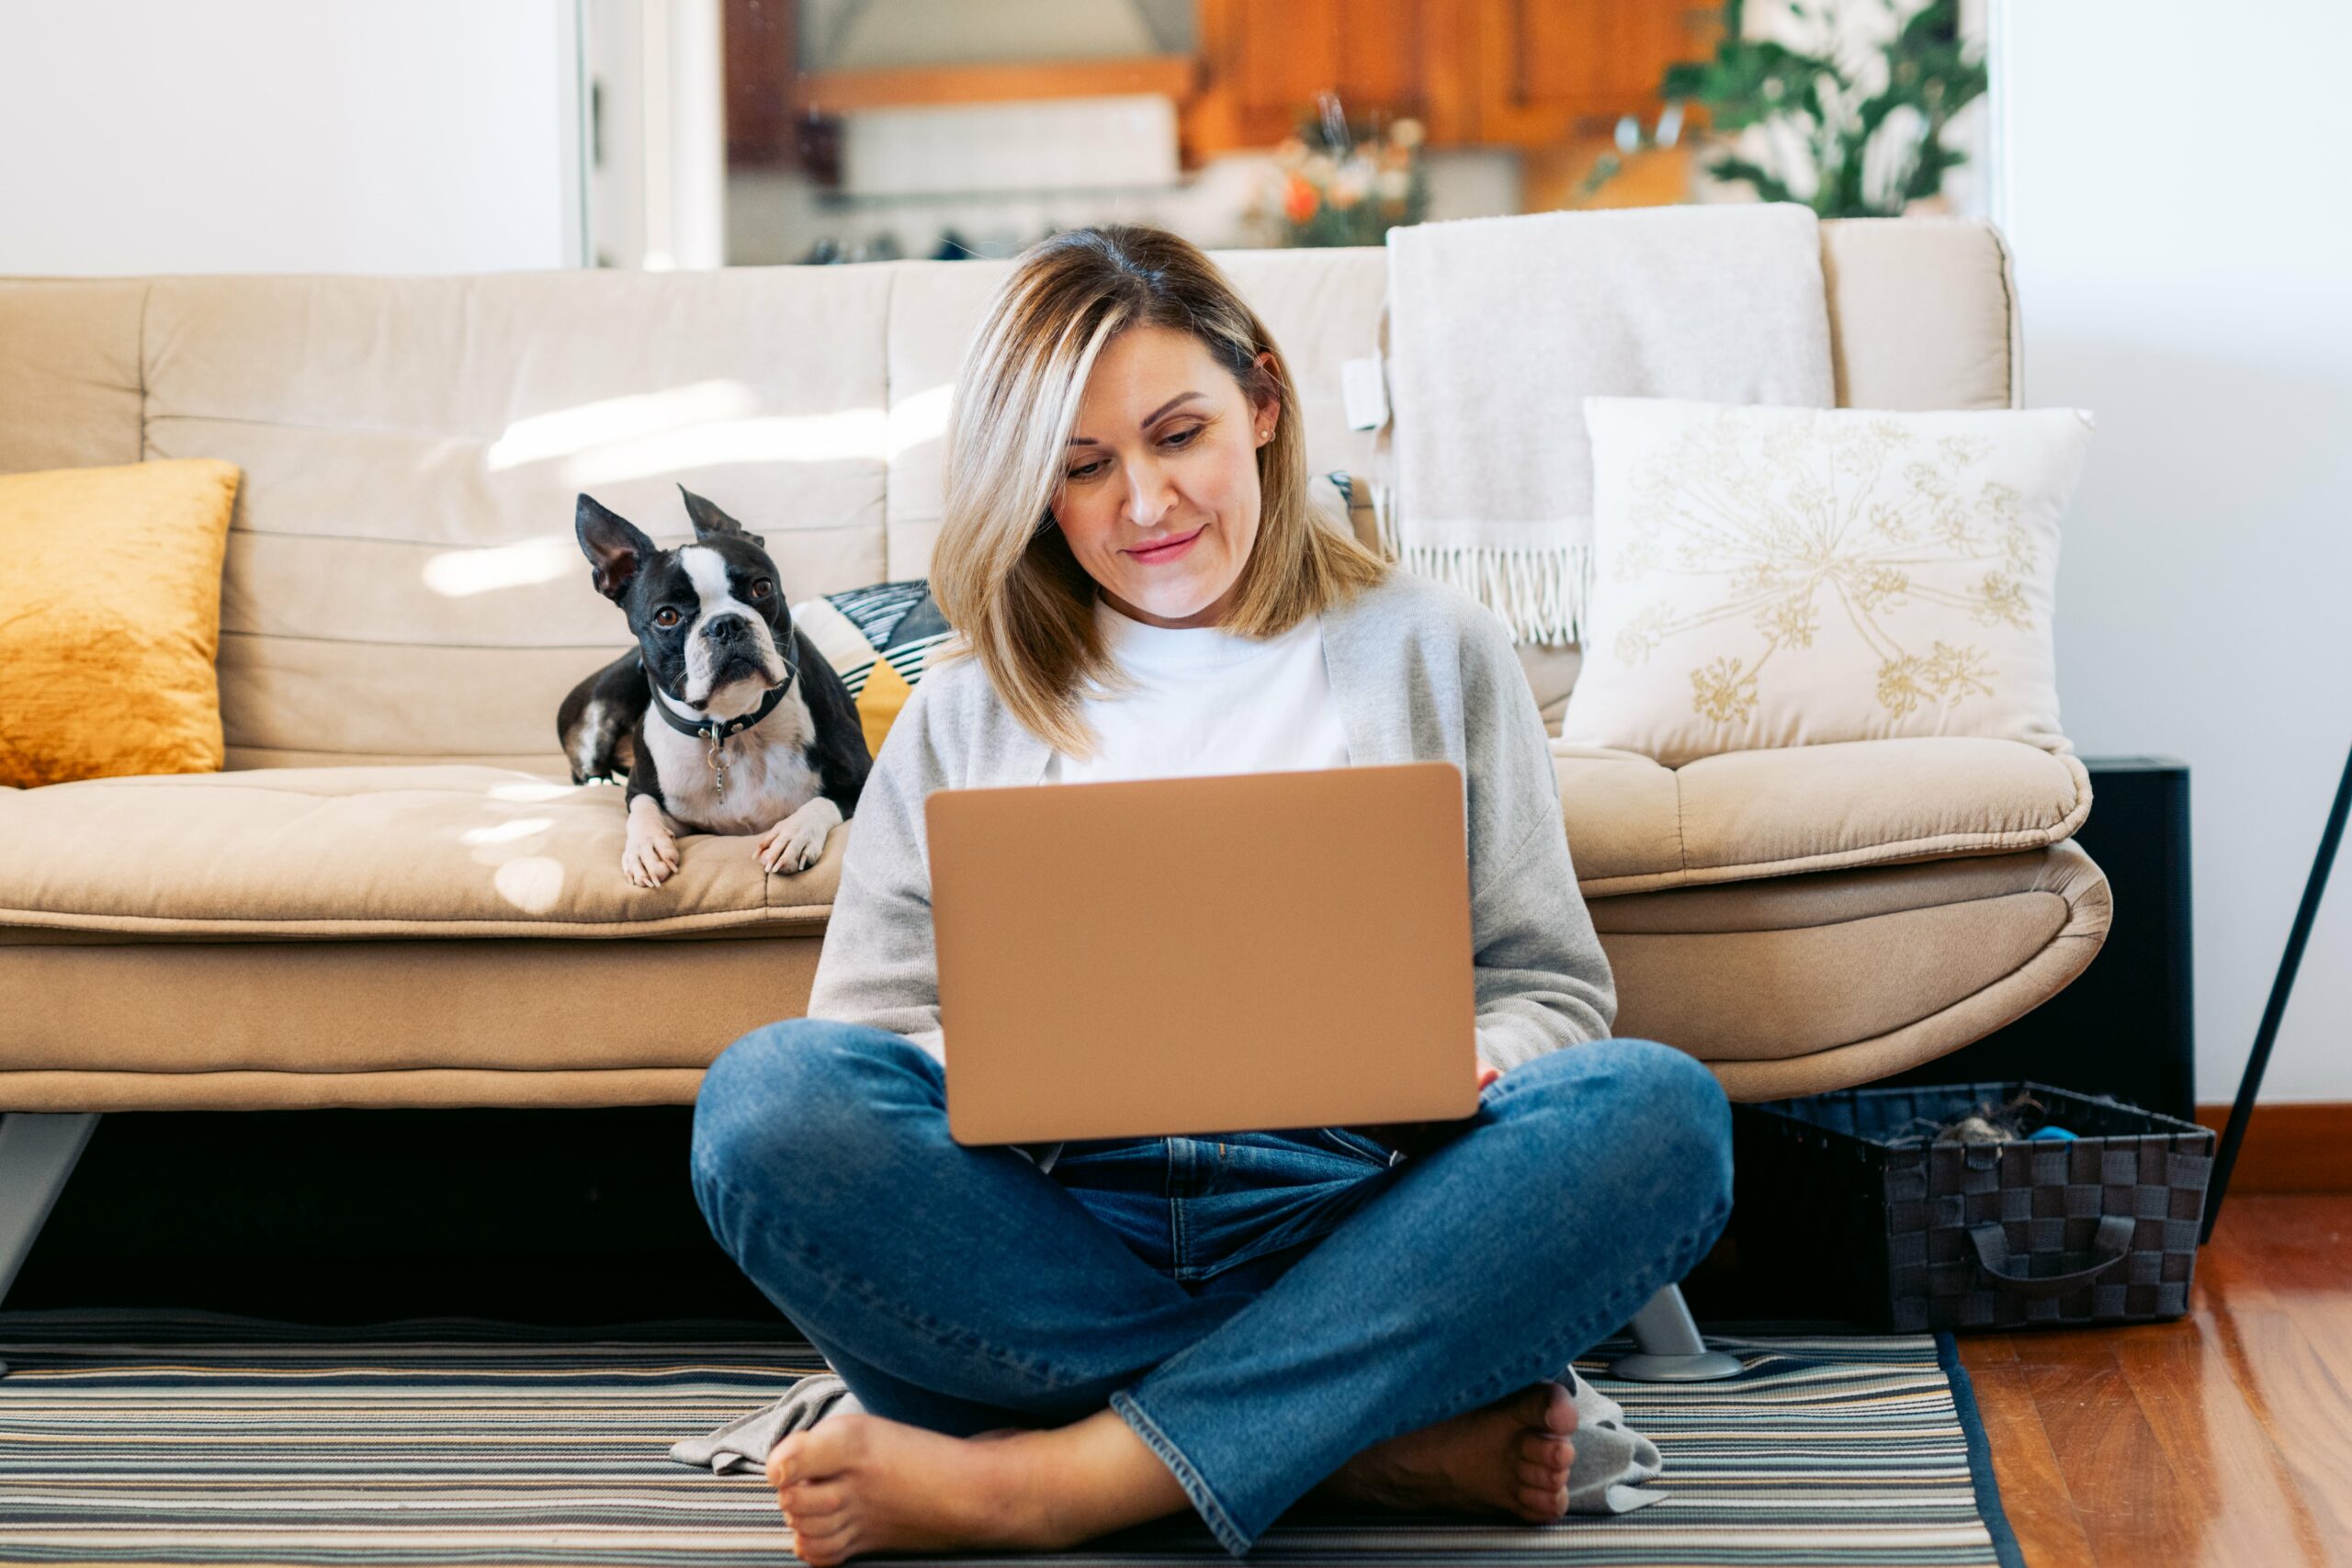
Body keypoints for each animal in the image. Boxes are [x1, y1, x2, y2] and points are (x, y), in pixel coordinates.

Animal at [555, 484, 870, 888]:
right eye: (667, 616)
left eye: (762, 587)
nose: (726, 624)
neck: (731, 726)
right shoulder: (646, 792)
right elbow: (641, 807)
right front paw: (645, 847)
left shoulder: (862, 777)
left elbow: (823, 802)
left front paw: (792, 835)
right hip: (599, 712)